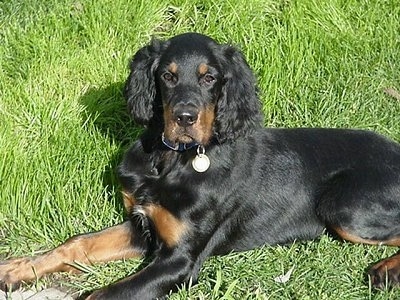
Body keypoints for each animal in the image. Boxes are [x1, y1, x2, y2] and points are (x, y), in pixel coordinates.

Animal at [0, 32, 400, 298]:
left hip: (344, 208)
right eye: (167, 75)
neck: (173, 161)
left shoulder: (180, 260)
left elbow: (105, 294)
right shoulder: (144, 226)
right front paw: (18, 268)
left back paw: (384, 271)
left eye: (209, 77)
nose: (184, 118)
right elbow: (77, 243)